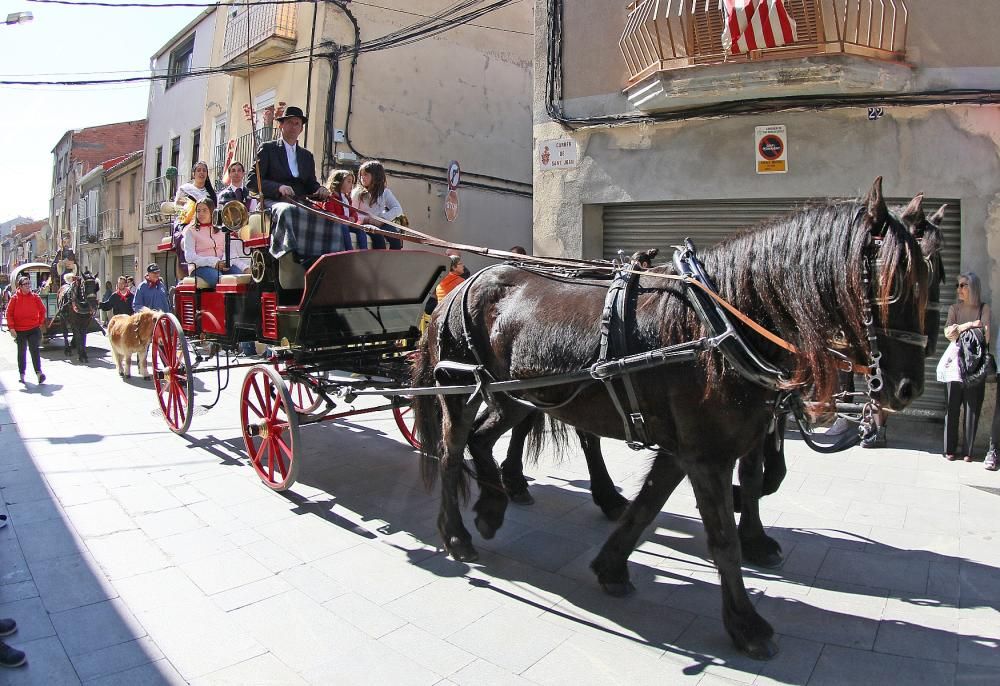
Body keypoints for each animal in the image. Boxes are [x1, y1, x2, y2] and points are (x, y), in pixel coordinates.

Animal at [414, 179, 928, 660]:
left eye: (931, 278)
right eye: (894, 286)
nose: (908, 388)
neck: (719, 325)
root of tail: (464, 285)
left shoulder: (694, 448)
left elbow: (651, 505)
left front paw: (612, 566)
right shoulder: (706, 455)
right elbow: (722, 539)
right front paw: (746, 623)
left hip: (519, 395)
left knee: (485, 439)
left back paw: (494, 506)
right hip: (460, 389)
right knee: (452, 450)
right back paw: (457, 533)